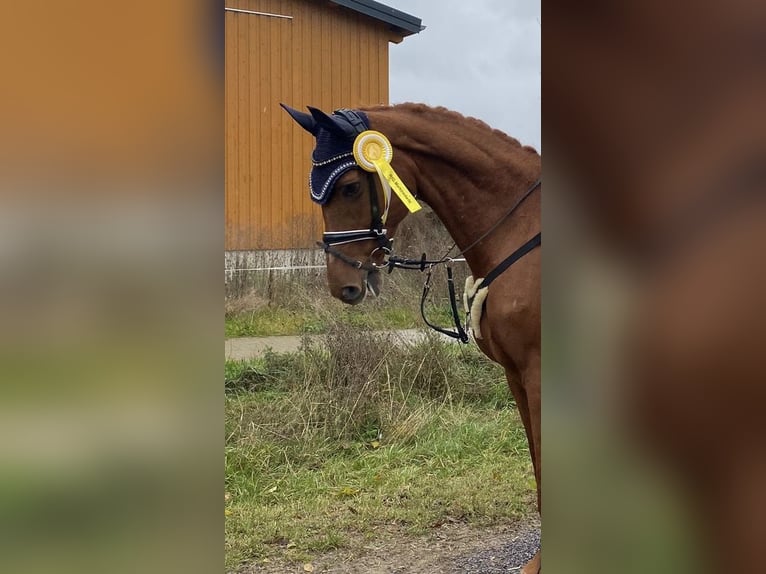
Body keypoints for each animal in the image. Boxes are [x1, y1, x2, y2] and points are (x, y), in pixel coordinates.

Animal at [283, 102, 542, 574]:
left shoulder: (536, 373)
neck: (519, 231)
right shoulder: (516, 375)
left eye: (350, 187)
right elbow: (535, 463)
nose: (342, 285)